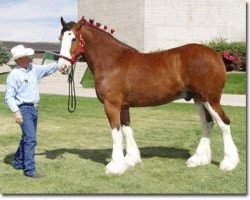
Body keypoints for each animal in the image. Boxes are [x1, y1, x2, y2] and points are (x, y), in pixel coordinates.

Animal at [57, 16, 240, 173]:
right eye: (60, 39)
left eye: (73, 38)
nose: (62, 67)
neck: (112, 61)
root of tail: (217, 55)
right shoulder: (123, 106)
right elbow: (127, 130)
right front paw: (131, 160)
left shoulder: (112, 105)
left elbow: (116, 133)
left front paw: (115, 166)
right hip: (198, 99)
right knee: (207, 124)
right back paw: (198, 159)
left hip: (210, 99)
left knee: (224, 123)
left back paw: (228, 162)